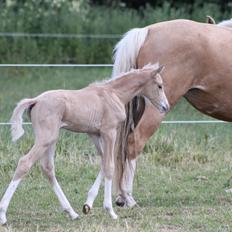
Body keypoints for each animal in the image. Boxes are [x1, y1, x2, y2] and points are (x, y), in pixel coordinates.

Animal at [0, 64, 169, 225]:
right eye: (159, 85)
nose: (165, 107)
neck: (114, 94)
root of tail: (35, 100)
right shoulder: (109, 132)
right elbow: (110, 166)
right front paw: (110, 211)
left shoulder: (94, 134)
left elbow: (104, 162)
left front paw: (88, 205)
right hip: (45, 138)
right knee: (25, 162)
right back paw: (3, 214)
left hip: (51, 139)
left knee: (48, 169)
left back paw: (72, 213)